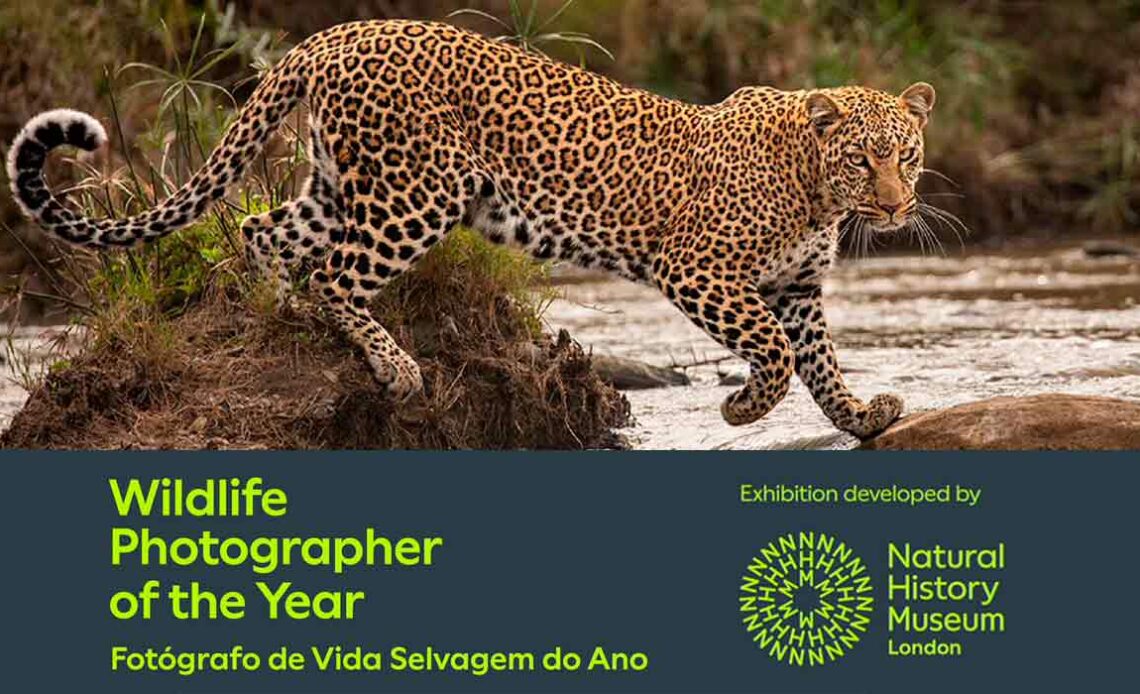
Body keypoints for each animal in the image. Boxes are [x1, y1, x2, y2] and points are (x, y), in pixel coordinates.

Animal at [8, 20, 934, 437]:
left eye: (909, 156)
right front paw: (742, 407)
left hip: (340, 187)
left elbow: (819, 360)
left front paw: (863, 415)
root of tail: (332, 34)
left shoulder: (797, 285)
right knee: (335, 275)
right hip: (418, 193)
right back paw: (395, 369)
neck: (816, 190)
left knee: (263, 233)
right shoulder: (698, 268)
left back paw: (273, 320)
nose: (895, 207)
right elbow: (775, 354)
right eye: (863, 160)